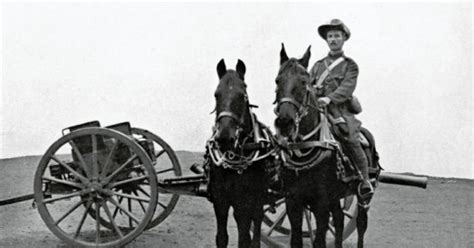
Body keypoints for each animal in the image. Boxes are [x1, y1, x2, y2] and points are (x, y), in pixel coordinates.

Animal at [206, 59, 274, 247]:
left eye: (242, 95)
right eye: (216, 95)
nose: (224, 137)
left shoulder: (245, 201)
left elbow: (244, 238)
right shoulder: (220, 200)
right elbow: (222, 238)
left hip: (258, 197)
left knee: (257, 222)